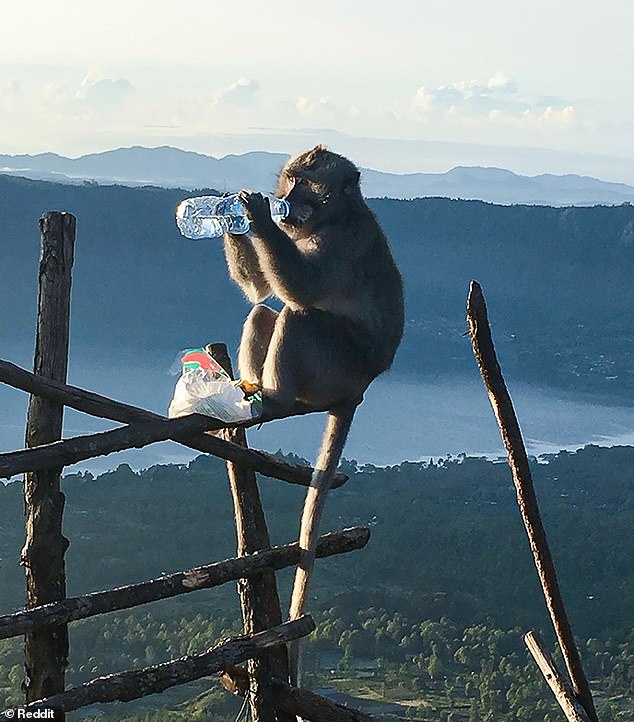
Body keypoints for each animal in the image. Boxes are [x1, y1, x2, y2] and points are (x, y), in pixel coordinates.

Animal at [221, 145, 400, 680]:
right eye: (290, 179)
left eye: (306, 182)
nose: (284, 200)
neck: (333, 216)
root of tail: (361, 388)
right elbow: (261, 290)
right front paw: (233, 218)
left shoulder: (344, 241)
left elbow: (303, 287)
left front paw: (255, 215)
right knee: (264, 312)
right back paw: (252, 390)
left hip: (337, 367)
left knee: (299, 317)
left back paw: (275, 398)